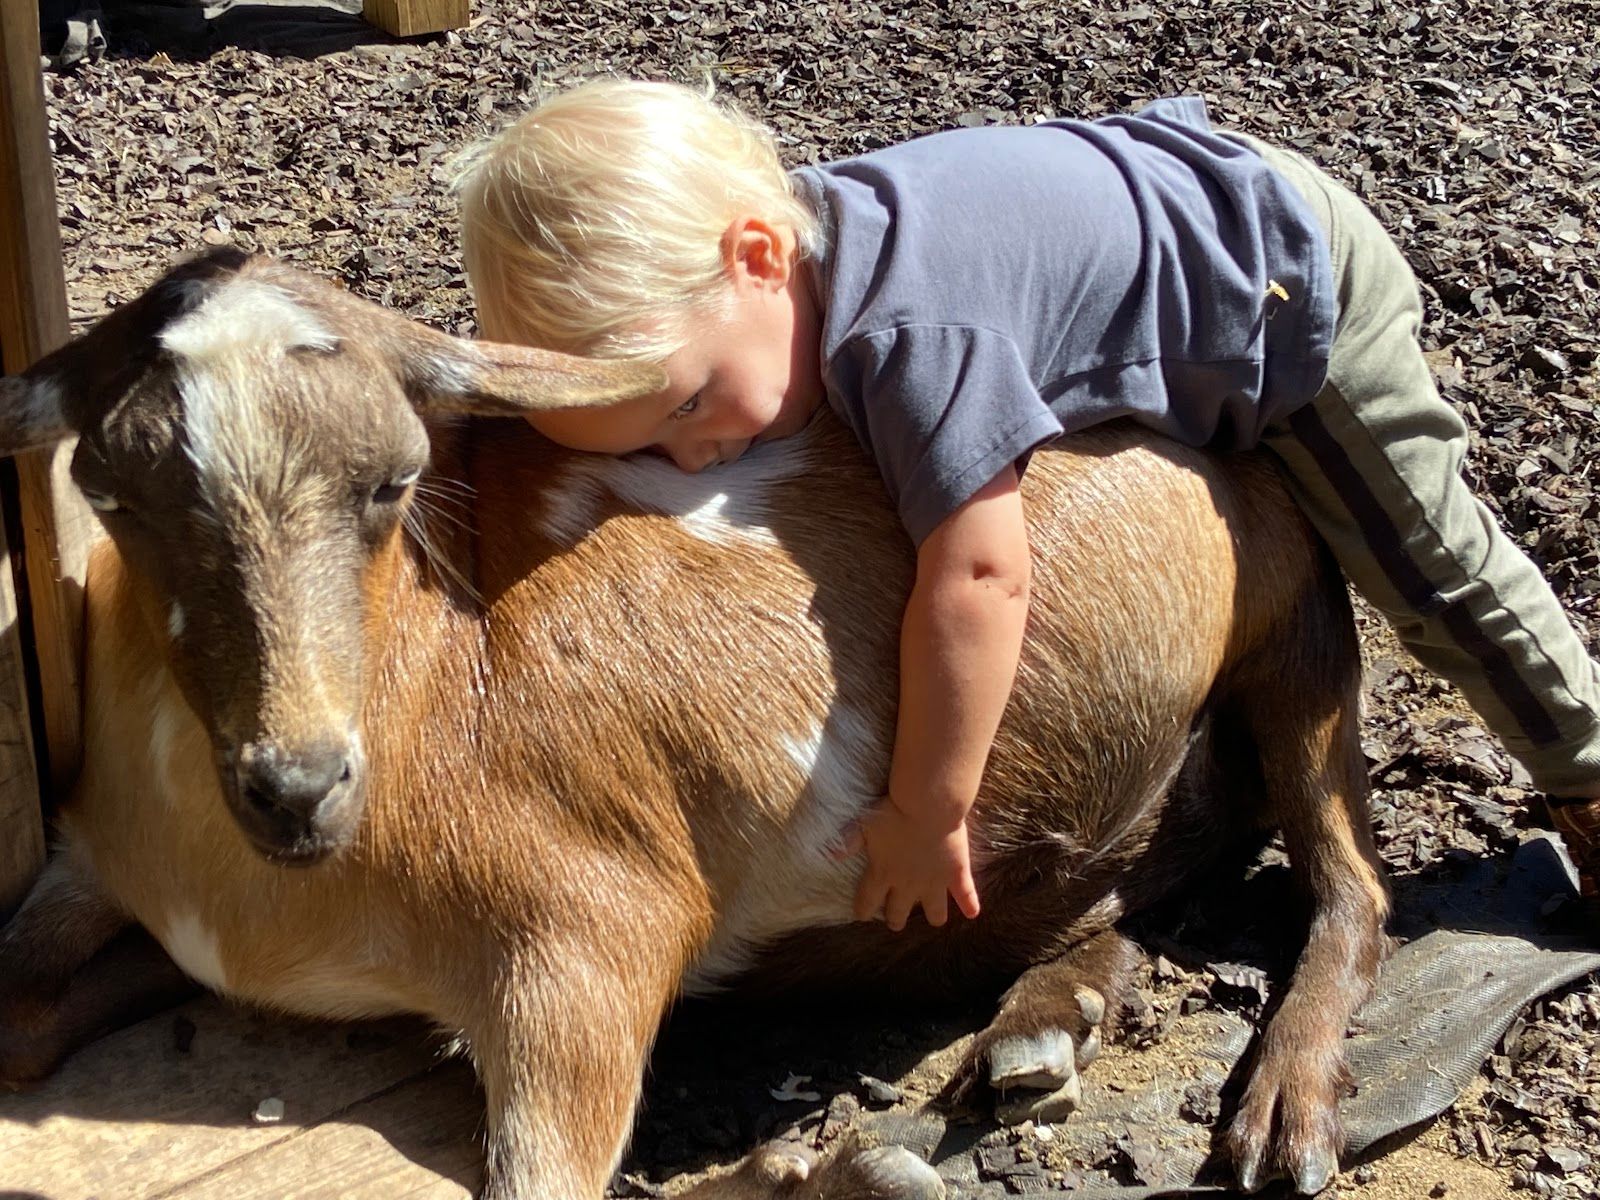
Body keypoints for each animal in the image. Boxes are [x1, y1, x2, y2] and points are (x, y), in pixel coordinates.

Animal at [0, 249, 1388, 1198]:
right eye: (107, 491)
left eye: (394, 480)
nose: (296, 782)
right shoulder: (93, 865)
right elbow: (24, 1012)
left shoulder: (581, 930)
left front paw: (822, 1177)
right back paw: (1041, 1028)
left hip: (1291, 603)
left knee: (1346, 874)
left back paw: (1281, 1112)